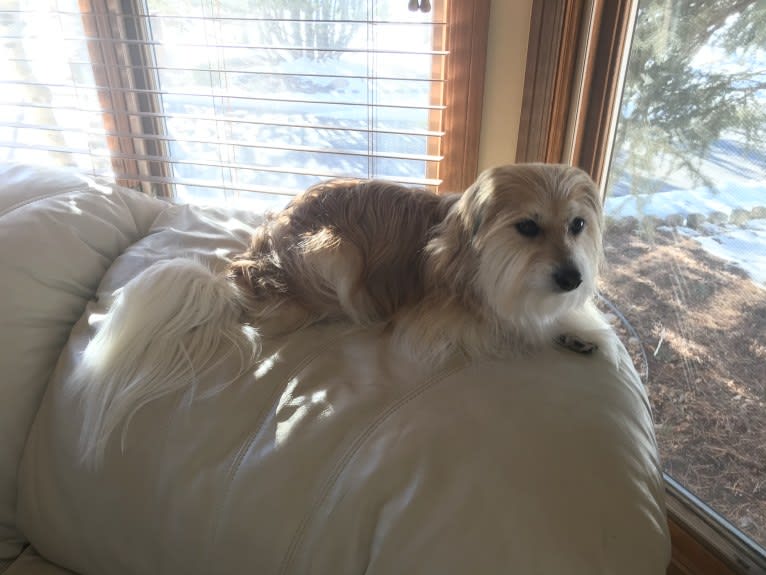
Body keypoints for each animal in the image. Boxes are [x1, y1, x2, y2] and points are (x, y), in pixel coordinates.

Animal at [72, 162, 620, 468]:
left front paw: (575, 330)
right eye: (527, 227)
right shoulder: (439, 321)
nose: (572, 277)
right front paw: (545, 328)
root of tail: (242, 275)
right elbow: (508, 324)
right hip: (335, 250)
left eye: (577, 226)